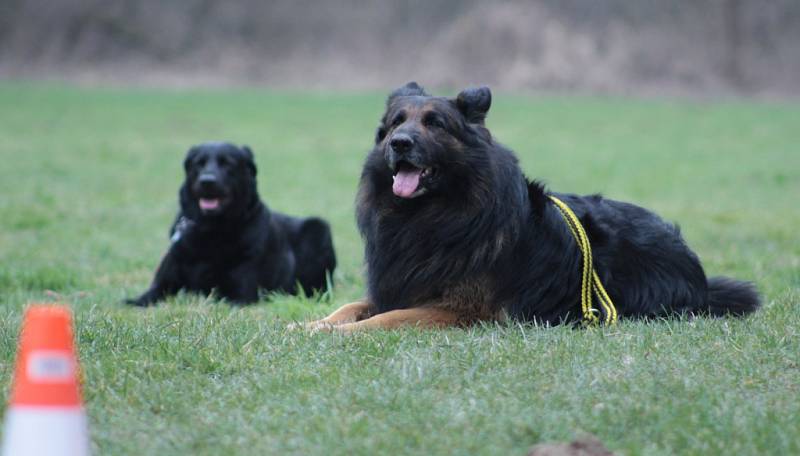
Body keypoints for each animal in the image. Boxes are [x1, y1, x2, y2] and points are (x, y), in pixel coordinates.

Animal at [127, 142, 338, 306]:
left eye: (228, 163)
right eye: (199, 164)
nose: (207, 181)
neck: (210, 231)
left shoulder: (240, 294)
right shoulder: (162, 284)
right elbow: (145, 297)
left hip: (318, 229)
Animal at [298, 83, 756, 332]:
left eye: (435, 124)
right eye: (396, 123)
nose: (400, 143)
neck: (433, 216)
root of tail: (697, 271)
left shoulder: (458, 311)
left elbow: (383, 320)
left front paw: (334, 335)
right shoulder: (395, 286)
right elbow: (349, 307)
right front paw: (307, 325)